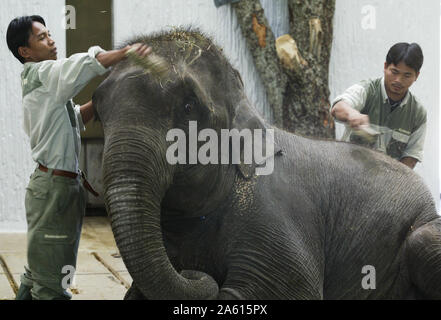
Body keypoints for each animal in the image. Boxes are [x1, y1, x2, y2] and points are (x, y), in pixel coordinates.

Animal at [93, 30, 440, 300]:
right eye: (98, 110)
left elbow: (290, 292)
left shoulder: (273, 212)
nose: (193, 273)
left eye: (189, 107)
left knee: (421, 241)